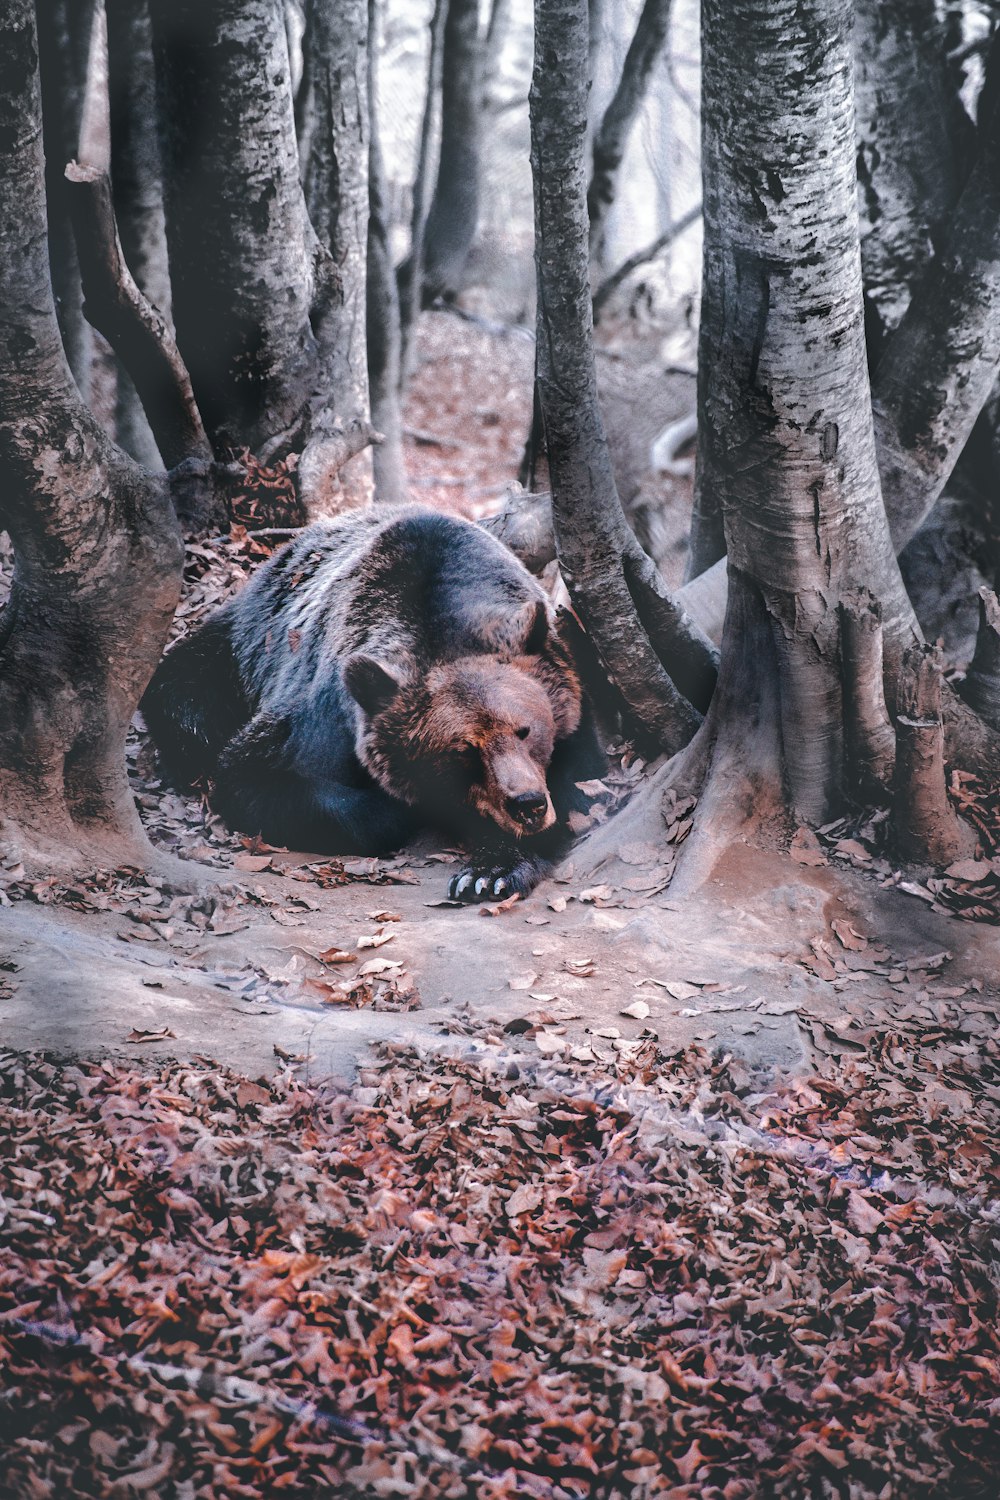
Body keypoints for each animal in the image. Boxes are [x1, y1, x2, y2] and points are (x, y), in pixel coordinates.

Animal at [140, 504, 602, 900]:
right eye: (463, 750)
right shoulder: (322, 711)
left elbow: (579, 786)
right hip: (242, 643)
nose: (528, 804)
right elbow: (255, 776)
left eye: (526, 730)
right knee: (184, 696)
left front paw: (489, 872)